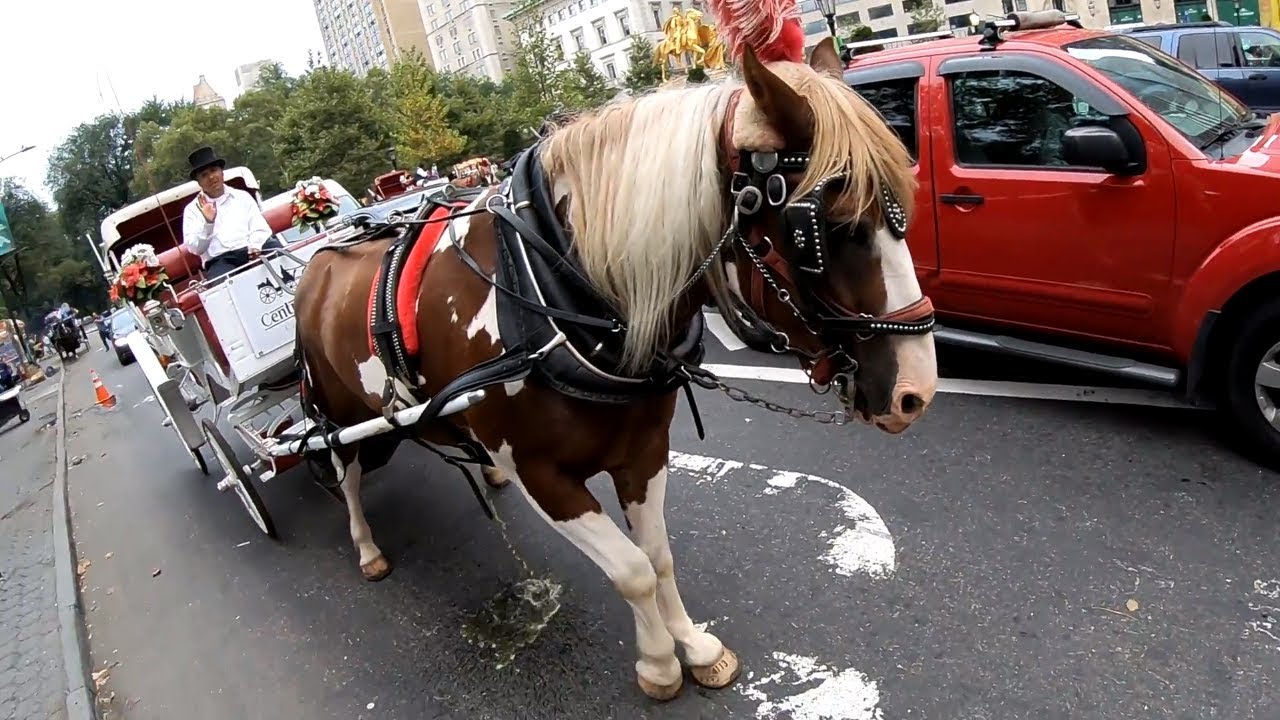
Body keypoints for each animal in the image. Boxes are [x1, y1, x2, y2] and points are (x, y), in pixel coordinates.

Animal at [292, 38, 938, 699]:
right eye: (831, 227)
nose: (916, 391)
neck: (560, 288)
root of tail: (318, 255)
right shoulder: (542, 475)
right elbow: (631, 571)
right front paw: (658, 664)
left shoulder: (644, 450)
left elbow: (658, 556)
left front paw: (695, 646)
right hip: (333, 409)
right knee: (344, 472)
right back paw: (365, 545)